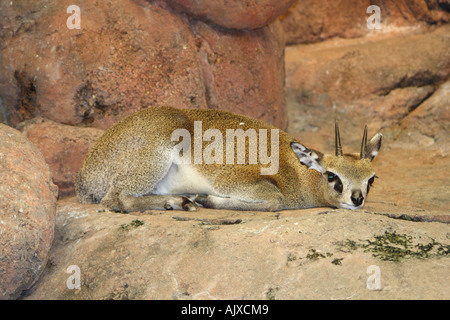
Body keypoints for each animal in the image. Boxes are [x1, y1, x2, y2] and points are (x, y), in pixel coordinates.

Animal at [75, 106, 382, 212]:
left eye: (371, 179)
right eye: (332, 175)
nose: (357, 199)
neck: (298, 173)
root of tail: (84, 177)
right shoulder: (234, 180)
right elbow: (275, 200)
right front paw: (207, 200)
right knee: (116, 200)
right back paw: (184, 202)